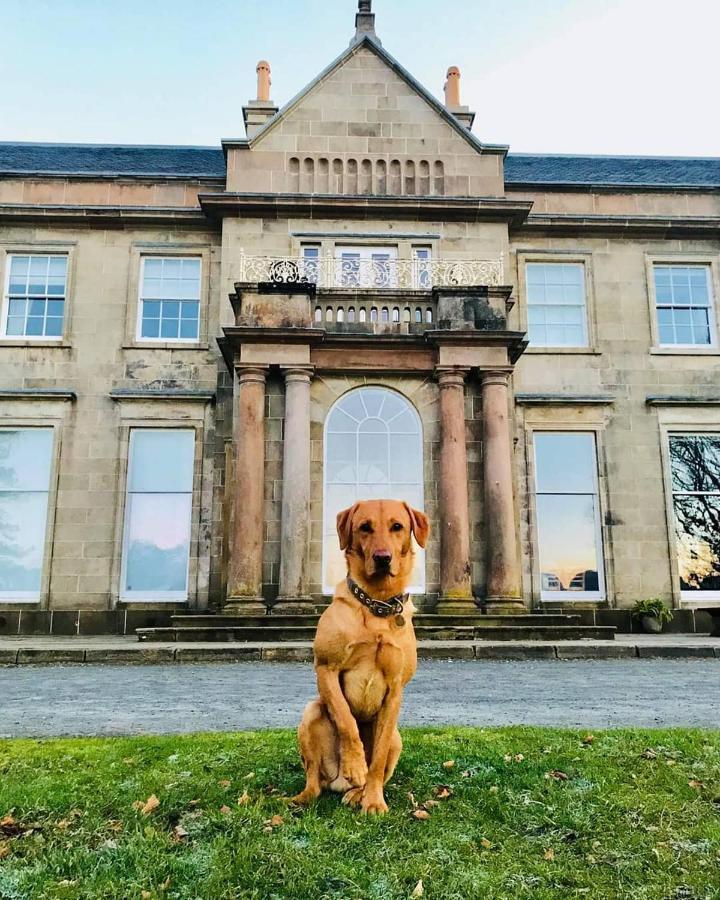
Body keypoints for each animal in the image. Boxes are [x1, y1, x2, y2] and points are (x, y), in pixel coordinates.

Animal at [292, 500, 428, 816]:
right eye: (365, 527)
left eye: (397, 526)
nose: (382, 558)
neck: (377, 604)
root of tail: (337, 784)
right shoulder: (326, 669)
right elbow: (346, 719)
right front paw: (354, 764)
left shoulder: (395, 691)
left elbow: (376, 759)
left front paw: (374, 800)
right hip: (311, 713)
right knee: (313, 779)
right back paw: (306, 796)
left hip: (397, 739)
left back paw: (358, 794)